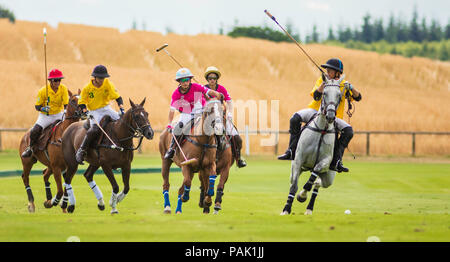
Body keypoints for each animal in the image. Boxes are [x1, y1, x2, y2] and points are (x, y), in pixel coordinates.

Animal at [282, 73, 344, 215]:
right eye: (324, 93)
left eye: (339, 95)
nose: (330, 117)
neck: (322, 129)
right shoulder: (298, 160)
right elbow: (294, 186)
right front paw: (286, 209)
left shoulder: (325, 161)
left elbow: (312, 177)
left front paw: (302, 195)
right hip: (296, 167)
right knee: (293, 181)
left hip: (329, 177)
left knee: (317, 184)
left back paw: (309, 208)